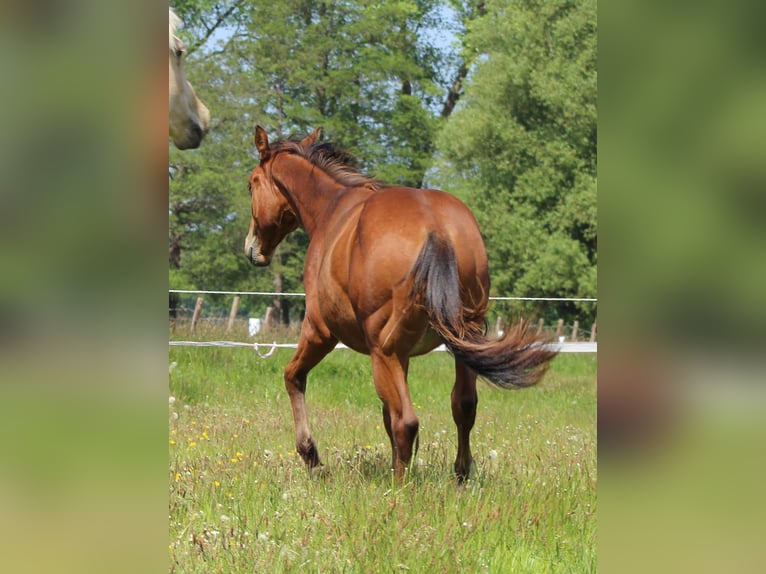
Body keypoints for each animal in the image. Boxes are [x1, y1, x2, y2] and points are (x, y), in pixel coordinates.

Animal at [244, 126, 558, 482]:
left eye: (252, 183)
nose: (252, 248)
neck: (332, 210)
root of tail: (436, 228)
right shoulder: (403, 355)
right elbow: (389, 413)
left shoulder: (320, 331)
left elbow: (293, 376)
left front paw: (310, 454)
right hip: (457, 340)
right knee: (462, 405)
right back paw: (460, 476)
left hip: (382, 352)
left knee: (406, 421)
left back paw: (398, 485)